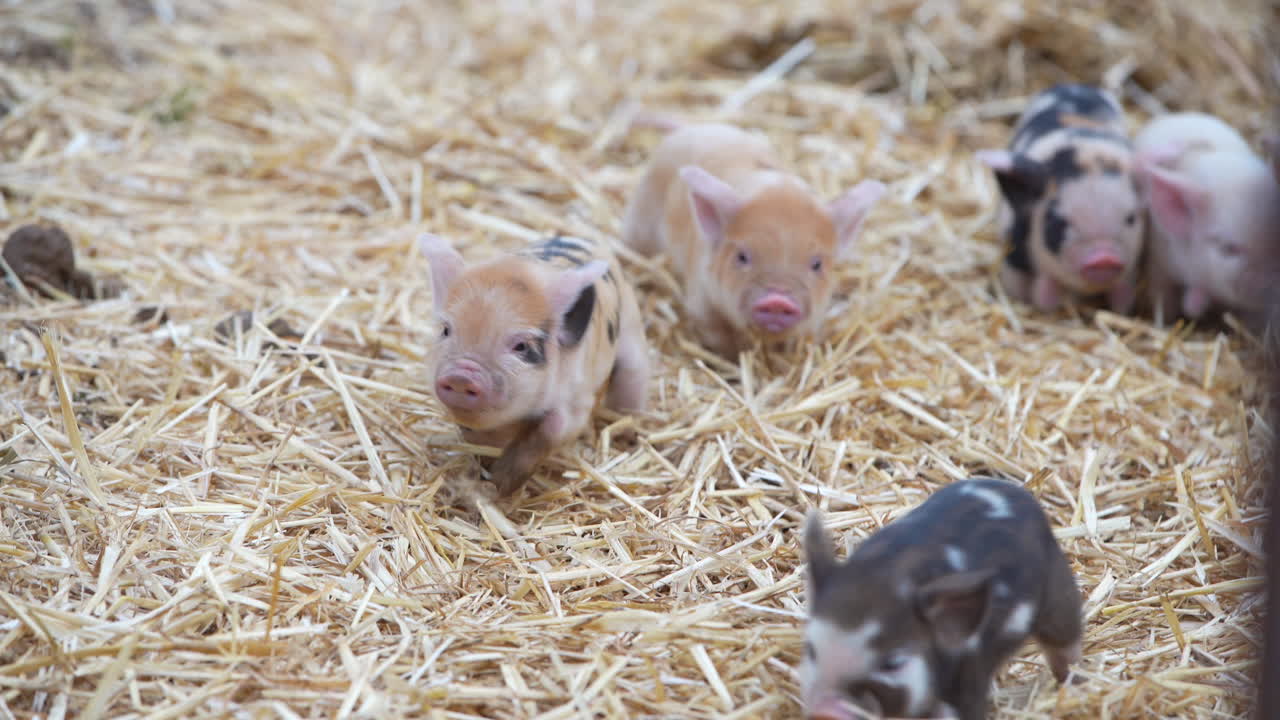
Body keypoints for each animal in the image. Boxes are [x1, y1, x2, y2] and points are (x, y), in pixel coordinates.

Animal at [419, 232, 649, 496]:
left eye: (521, 346)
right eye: (446, 330)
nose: (461, 375)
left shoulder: (577, 399)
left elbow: (554, 427)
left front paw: (501, 484)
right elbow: (475, 437)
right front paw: (484, 473)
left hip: (631, 335)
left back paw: (629, 437)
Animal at [621, 122, 886, 359]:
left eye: (817, 264)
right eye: (742, 257)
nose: (778, 300)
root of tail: (689, 127)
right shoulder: (700, 298)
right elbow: (718, 338)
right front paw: (734, 360)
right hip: (641, 219)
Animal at [801, 476, 1083, 720]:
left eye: (893, 663)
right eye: (811, 649)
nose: (825, 709)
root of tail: (1012, 490)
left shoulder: (970, 673)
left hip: (1058, 592)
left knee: (1065, 642)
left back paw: (1076, 682)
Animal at [976, 84, 1146, 314]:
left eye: (1131, 218)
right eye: (1058, 221)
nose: (1104, 258)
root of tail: (1073, 85)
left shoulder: (1130, 272)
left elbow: (1123, 297)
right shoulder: (1014, 252)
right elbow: (1019, 288)